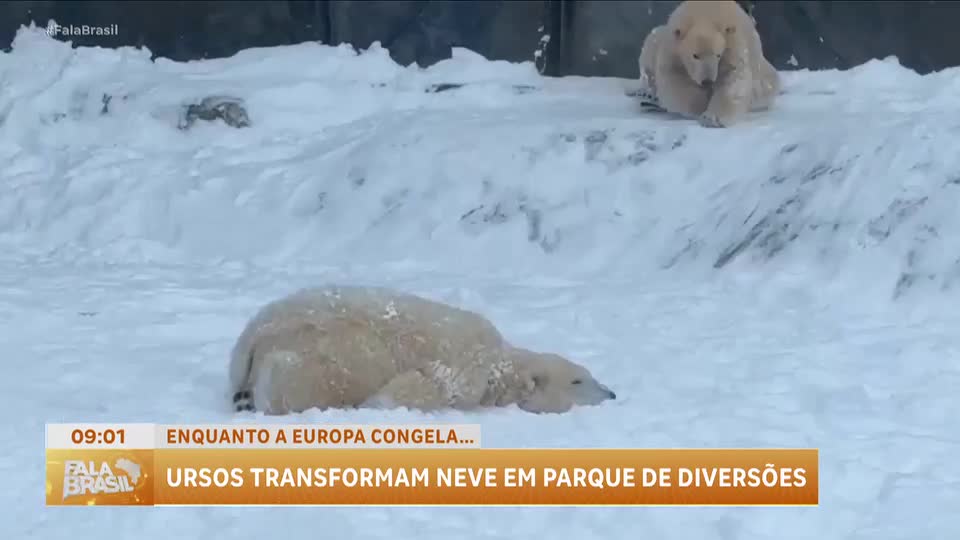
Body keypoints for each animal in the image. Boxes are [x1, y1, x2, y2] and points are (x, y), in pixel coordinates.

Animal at [228, 285, 616, 415]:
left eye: (589, 374)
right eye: (578, 381)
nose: (611, 393)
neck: (501, 365)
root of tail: (254, 338)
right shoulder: (468, 365)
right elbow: (428, 385)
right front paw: (381, 403)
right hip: (329, 351)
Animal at [637, 0, 780, 127]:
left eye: (718, 55)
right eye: (695, 55)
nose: (707, 81)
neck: (704, 14)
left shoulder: (733, 46)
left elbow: (733, 79)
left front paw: (711, 118)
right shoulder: (673, 52)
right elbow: (675, 81)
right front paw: (700, 106)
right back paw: (648, 96)